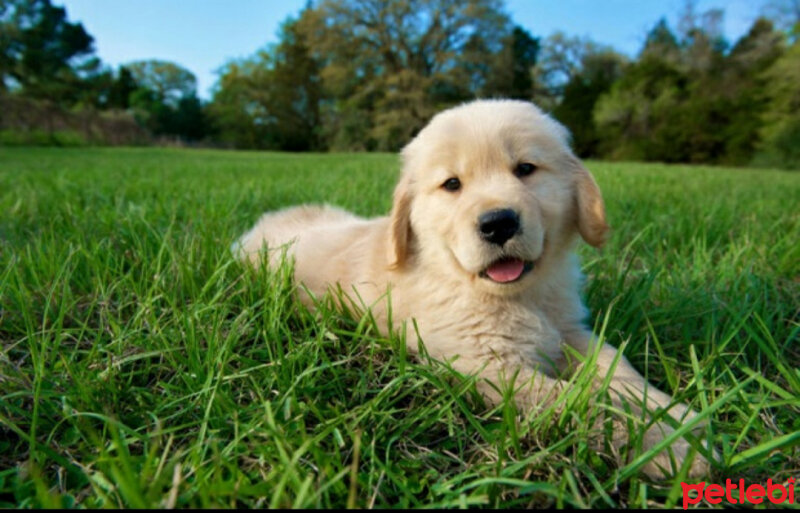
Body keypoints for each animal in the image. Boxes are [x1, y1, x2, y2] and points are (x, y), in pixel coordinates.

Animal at [234, 101, 708, 480]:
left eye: (525, 169)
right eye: (452, 184)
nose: (498, 223)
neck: (517, 297)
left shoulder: (570, 331)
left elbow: (617, 366)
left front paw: (674, 414)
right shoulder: (487, 366)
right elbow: (580, 401)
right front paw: (666, 444)